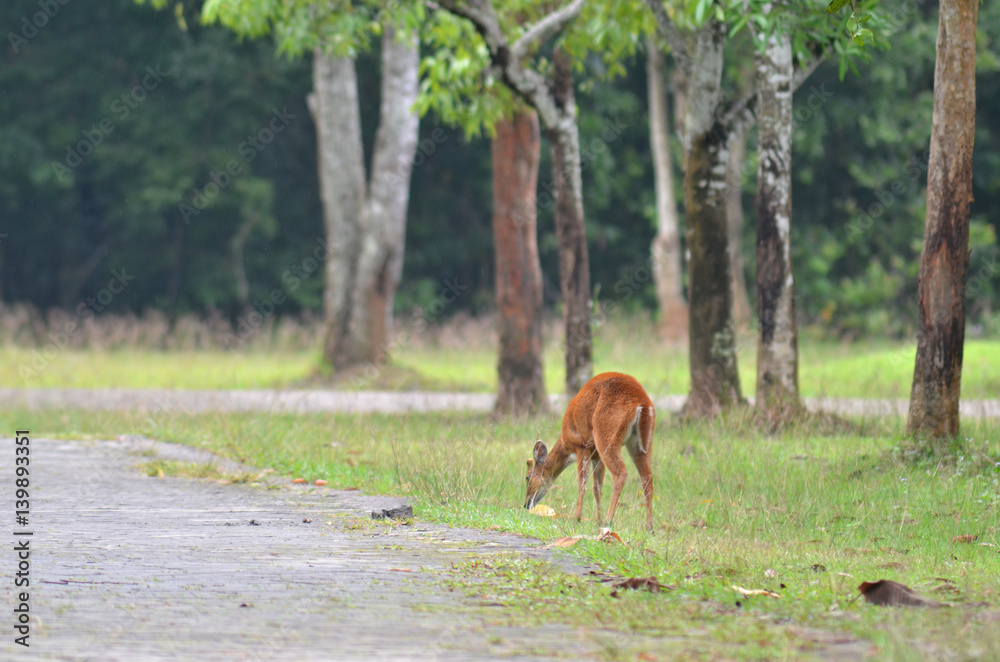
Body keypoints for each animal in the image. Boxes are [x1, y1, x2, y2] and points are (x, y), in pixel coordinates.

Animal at [524, 372, 656, 531]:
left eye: (527, 477)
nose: (526, 504)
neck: (565, 442)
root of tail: (642, 403)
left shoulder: (581, 446)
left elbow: (582, 483)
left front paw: (578, 518)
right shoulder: (595, 455)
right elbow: (596, 488)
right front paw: (597, 520)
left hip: (606, 435)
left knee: (621, 473)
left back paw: (609, 520)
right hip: (641, 444)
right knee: (647, 477)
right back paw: (649, 527)